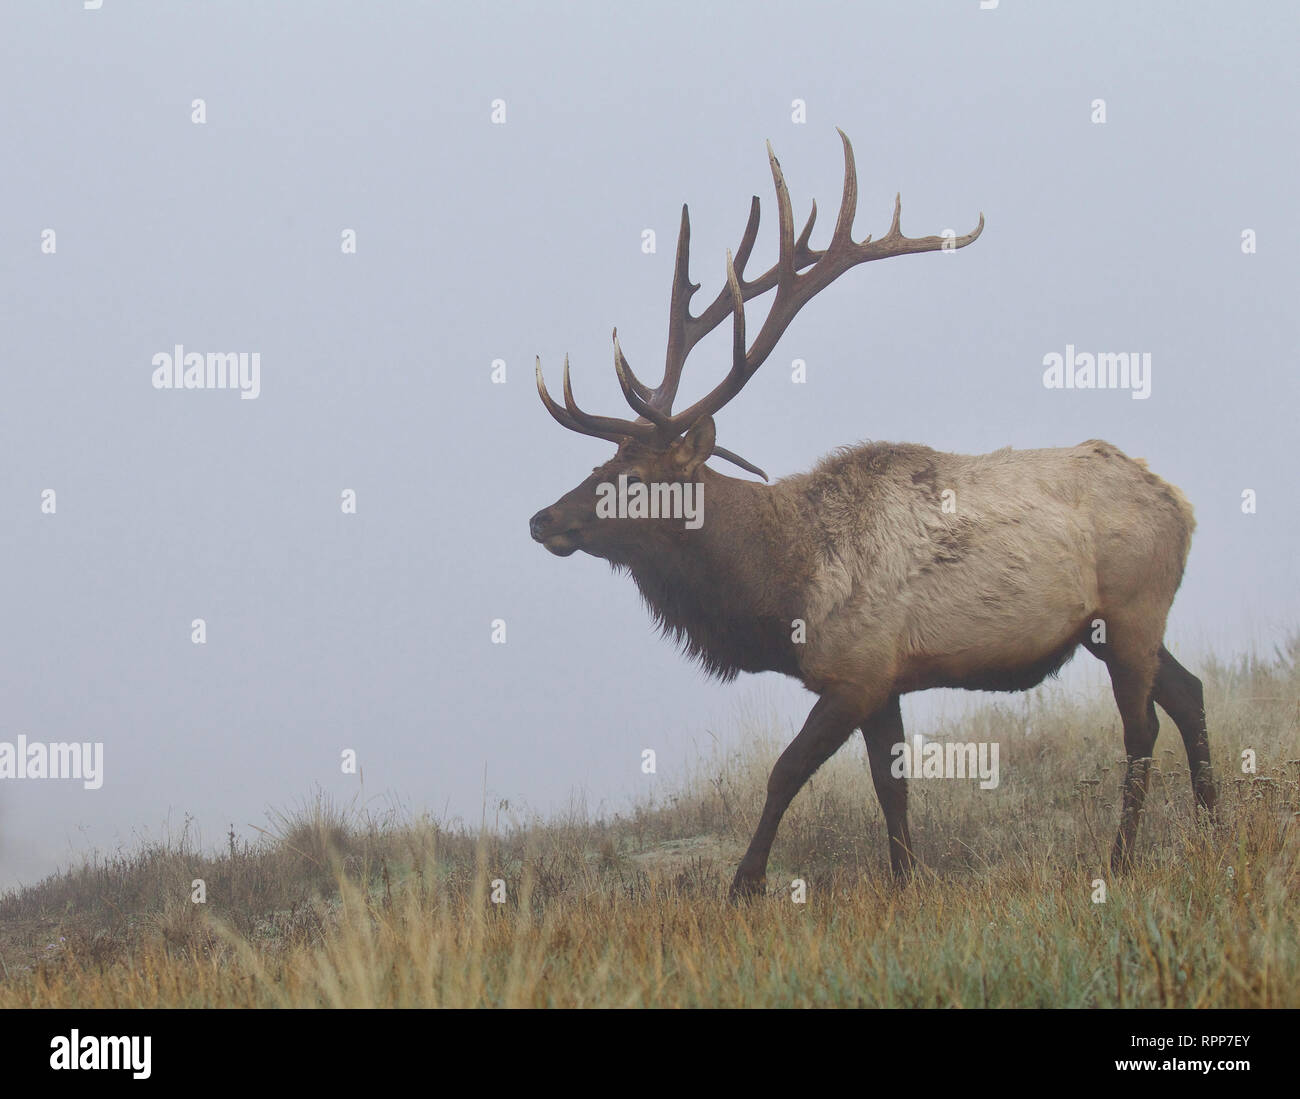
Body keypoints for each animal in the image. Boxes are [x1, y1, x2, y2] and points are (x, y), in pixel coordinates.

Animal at [527, 130, 1216, 900]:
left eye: (634, 477)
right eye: (599, 466)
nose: (542, 520)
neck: (780, 587)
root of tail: (1181, 504)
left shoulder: (855, 670)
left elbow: (786, 772)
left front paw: (743, 888)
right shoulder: (885, 681)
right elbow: (893, 787)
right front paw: (907, 878)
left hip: (1132, 606)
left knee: (1143, 725)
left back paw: (1121, 857)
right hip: (1110, 622)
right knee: (1189, 692)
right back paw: (1215, 829)